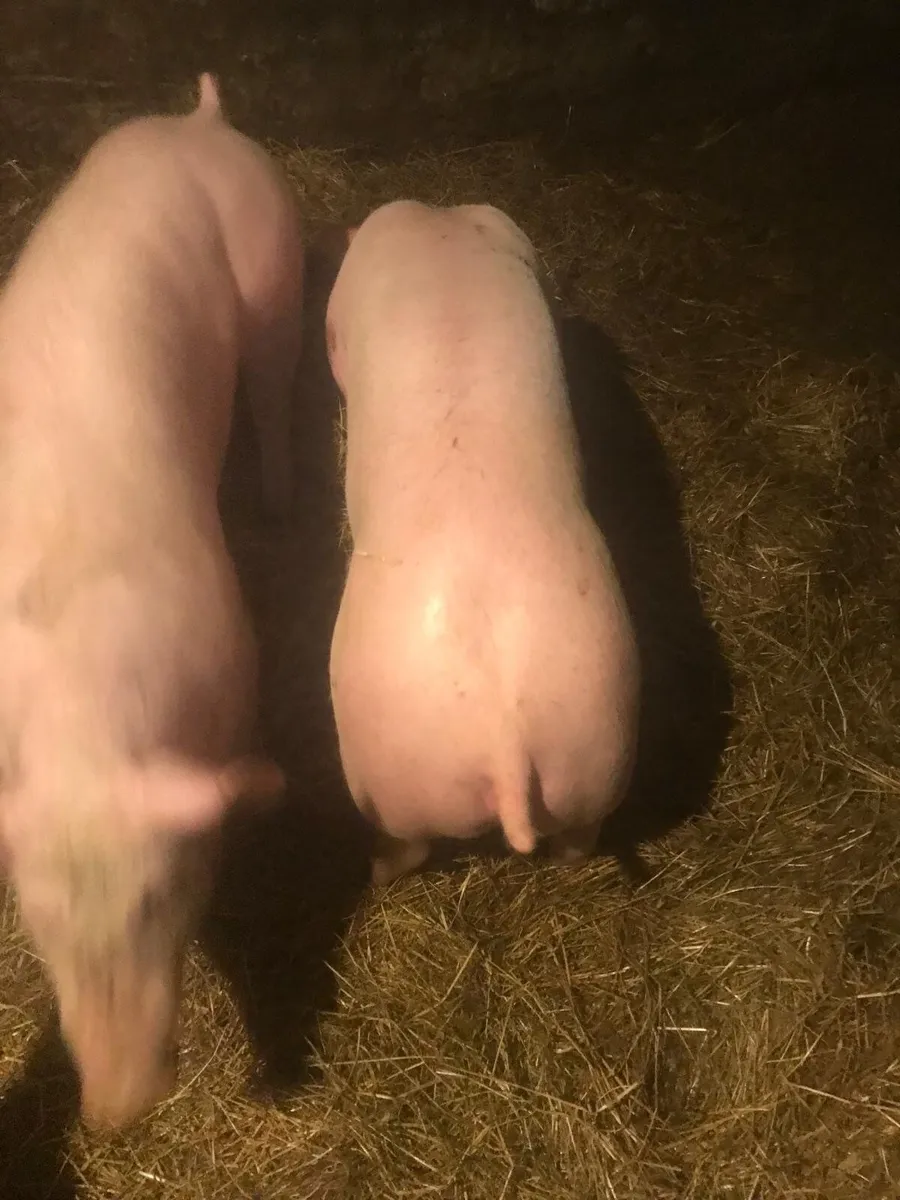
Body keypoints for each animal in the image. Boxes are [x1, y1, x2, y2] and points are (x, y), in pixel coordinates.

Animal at [0, 73, 300, 1127]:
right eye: (37, 921)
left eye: (159, 897)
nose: (116, 1106)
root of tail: (199, 123)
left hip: (274, 259)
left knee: (274, 379)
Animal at [326, 199, 640, 887]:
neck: (441, 230)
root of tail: (505, 734)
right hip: (597, 752)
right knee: (579, 841)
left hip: (383, 781)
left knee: (405, 845)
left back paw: (374, 871)